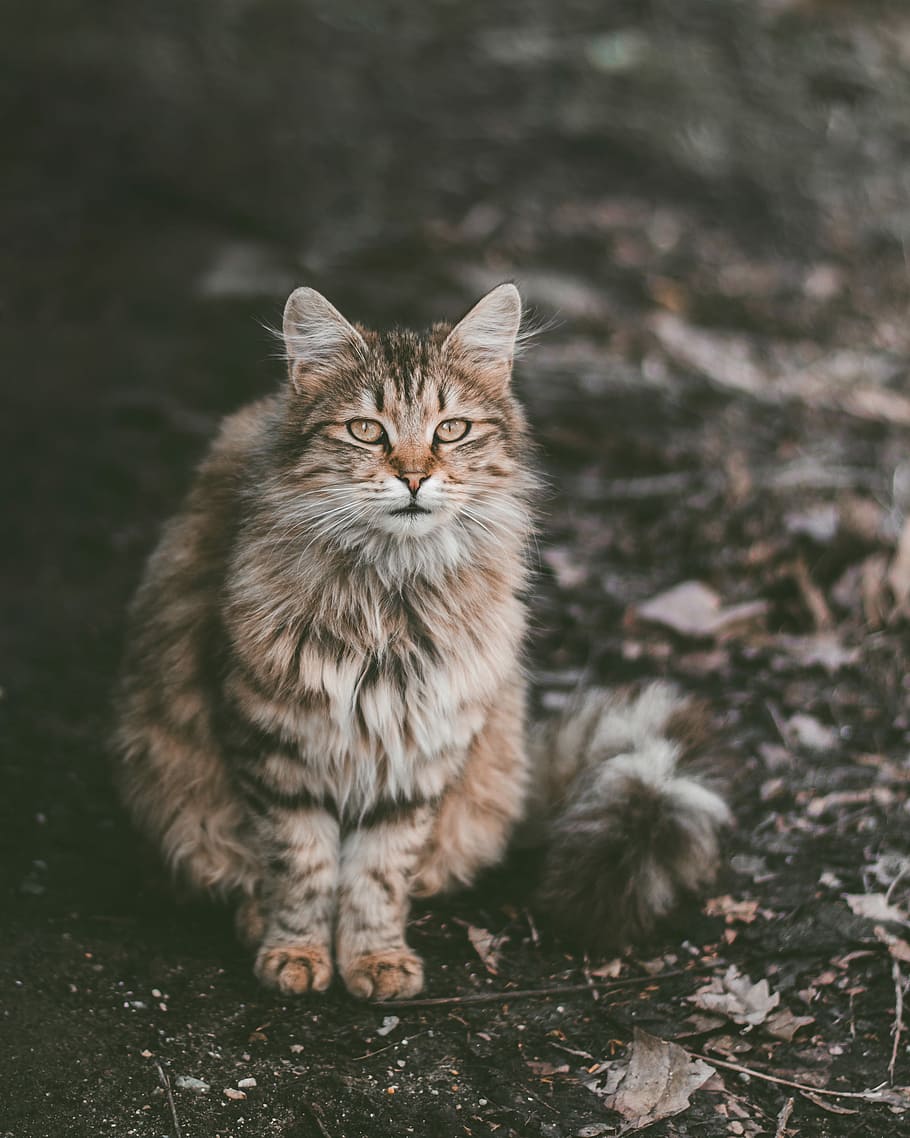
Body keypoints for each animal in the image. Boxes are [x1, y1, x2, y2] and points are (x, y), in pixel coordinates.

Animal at [113, 282, 728, 996]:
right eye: (366, 430)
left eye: (450, 430)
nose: (412, 477)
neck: (394, 596)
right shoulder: (272, 740)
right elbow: (300, 865)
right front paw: (297, 951)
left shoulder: (421, 747)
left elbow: (378, 873)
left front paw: (375, 957)